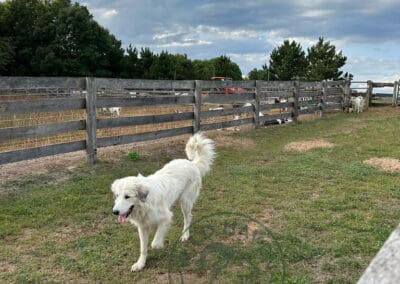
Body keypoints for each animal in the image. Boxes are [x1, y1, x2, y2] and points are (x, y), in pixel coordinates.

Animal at [111, 133, 214, 270]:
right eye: (117, 196)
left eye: (127, 196)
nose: (115, 212)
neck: (145, 203)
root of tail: (192, 163)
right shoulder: (142, 227)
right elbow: (143, 248)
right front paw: (140, 264)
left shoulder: (166, 217)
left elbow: (154, 243)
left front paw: (159, 244)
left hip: (185, 201)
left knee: (188, 217)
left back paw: (185, 235)